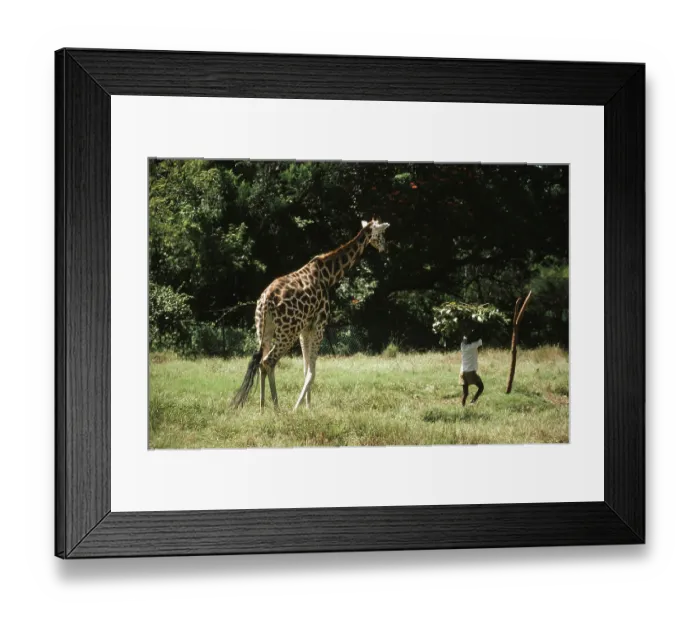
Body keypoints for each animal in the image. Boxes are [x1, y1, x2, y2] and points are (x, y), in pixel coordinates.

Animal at [231, 218, 391, 412]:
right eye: (381, 233)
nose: (385, 248)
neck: (329, 275)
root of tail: (266, 301)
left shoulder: (305, 328)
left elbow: (305, 369)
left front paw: (308, 407)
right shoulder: (319, 325)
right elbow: (312, 372)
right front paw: (297, 407)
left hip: (263, 330)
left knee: (262, 362)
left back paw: (262, 408)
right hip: (287, 333)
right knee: (269, 361)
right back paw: (277, 408)